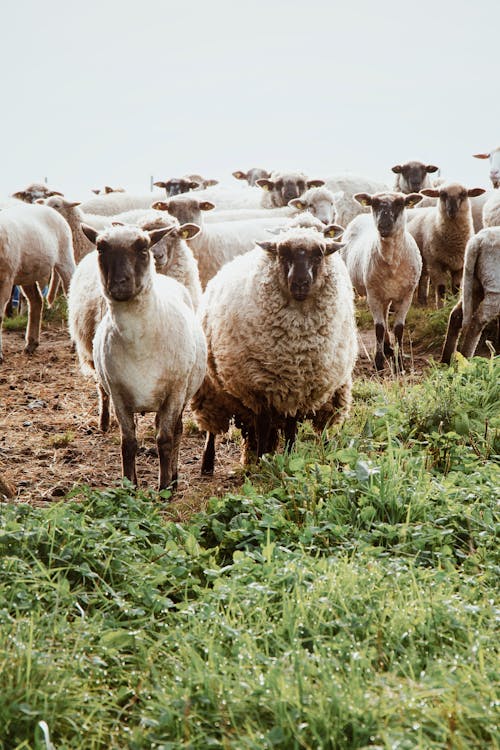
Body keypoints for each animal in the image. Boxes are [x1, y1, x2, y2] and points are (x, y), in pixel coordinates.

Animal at [0, 203, 75, 362]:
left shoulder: (6, 278)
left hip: (65, 256)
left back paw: (74, 343)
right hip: (27, 273)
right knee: (36, 301)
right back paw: (31, 343)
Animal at [70, 223, 205, 494]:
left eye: (143, 249)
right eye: (100, 249)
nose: (119, 283)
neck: (139, 342)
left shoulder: (174, 392)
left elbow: (165, 439)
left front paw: (164, 489)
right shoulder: (118, 394)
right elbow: (128, 442)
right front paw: (129, 486)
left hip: (182, 393)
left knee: (176, 431)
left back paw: (174, 478)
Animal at [190, 223, 356, 478]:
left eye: (318, 254)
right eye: (282, 254)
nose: (300, 283)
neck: (296, 346)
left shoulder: (299, 389)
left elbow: (290, 428)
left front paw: (288, 456)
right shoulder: (259, 389)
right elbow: (263, 426)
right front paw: (262, 463)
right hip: (211, 389)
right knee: (212, 430)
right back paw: (208, 465)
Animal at [340, 191, 422, 374]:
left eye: (400, 203)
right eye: (374, 204)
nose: (383, 225)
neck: (392, 262)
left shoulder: (407, 296)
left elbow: (398, 329)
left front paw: (399, 363)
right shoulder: (373, 295)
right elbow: (378, 328)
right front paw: (378, 363)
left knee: (385, 316)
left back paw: (388, 348)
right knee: (382, 320)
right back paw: (385, 348)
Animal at [442, 226, 500, 364]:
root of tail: (478, 241)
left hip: (472, 282)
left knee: (456, 315)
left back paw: (446, 361)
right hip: (494, 287)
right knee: (478, 320)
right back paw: (467, 359)